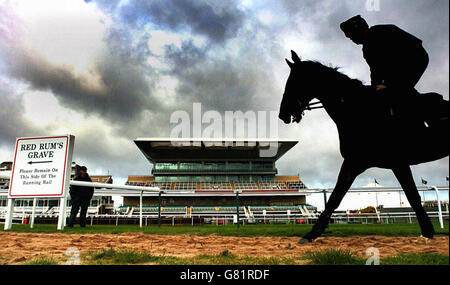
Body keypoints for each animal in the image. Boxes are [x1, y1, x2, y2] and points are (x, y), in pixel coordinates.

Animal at [280, 50, 448, 242]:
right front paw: (312, 233)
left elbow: (412, 195)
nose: (282, 114)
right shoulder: (354, 162)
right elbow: (335, 198)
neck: (362, 112)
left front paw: (427, 231)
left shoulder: (397, 162)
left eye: (293, 82)